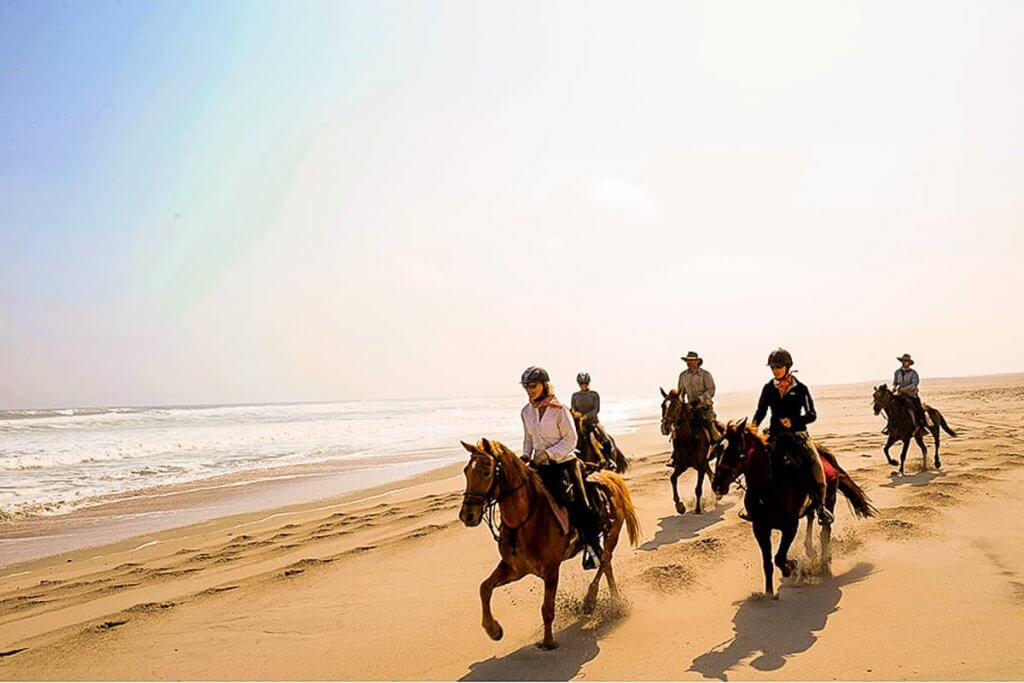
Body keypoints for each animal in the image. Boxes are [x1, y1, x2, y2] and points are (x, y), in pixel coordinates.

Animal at [458, 438, 638, 651]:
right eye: (466, 471)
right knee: (606, 563)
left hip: (612, 533)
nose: (467, 515)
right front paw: (493, 630)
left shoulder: (551, 570)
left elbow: (547, 608)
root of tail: (610, 476)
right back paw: (614, 600)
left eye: (486, 472)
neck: (525, 521)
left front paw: (548, 642)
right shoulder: (514, 569)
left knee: (605, 560)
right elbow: (484, 588)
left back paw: (590, 601)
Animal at [708, 419, 876, 593]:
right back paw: (810, 551)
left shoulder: (790, 527)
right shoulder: (760, 528)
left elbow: (779, 558)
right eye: (718, 451)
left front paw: (791, 566)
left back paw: (824, 567)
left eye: (737, 452)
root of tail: (826, 454)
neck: (769, 486)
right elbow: (768, 564)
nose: (717, 485)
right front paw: (769, 594)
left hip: (830, 499)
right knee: (811, 517)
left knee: (825, 532)